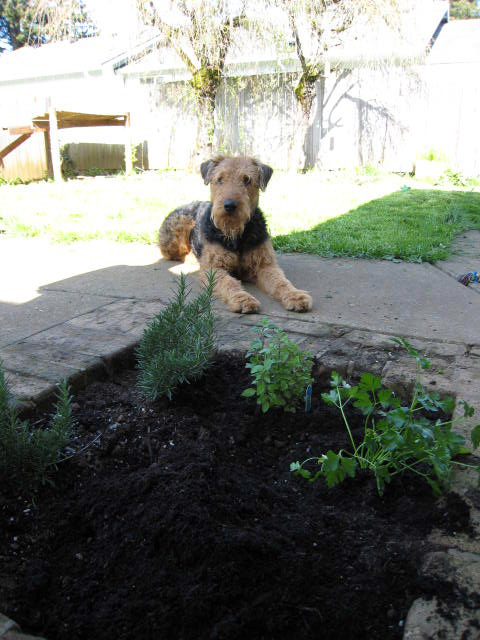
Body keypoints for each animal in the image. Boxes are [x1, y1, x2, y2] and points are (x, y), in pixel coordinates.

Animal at [159, 156, 314, 316]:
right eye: (220, 179)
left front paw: (296, 296)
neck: (235, 234)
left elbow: (281, 281)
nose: (229, 206)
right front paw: (243, 300)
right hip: (180, 227)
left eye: (247, 179)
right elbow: (229, 283)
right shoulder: (214, 268)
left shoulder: (264, 265)